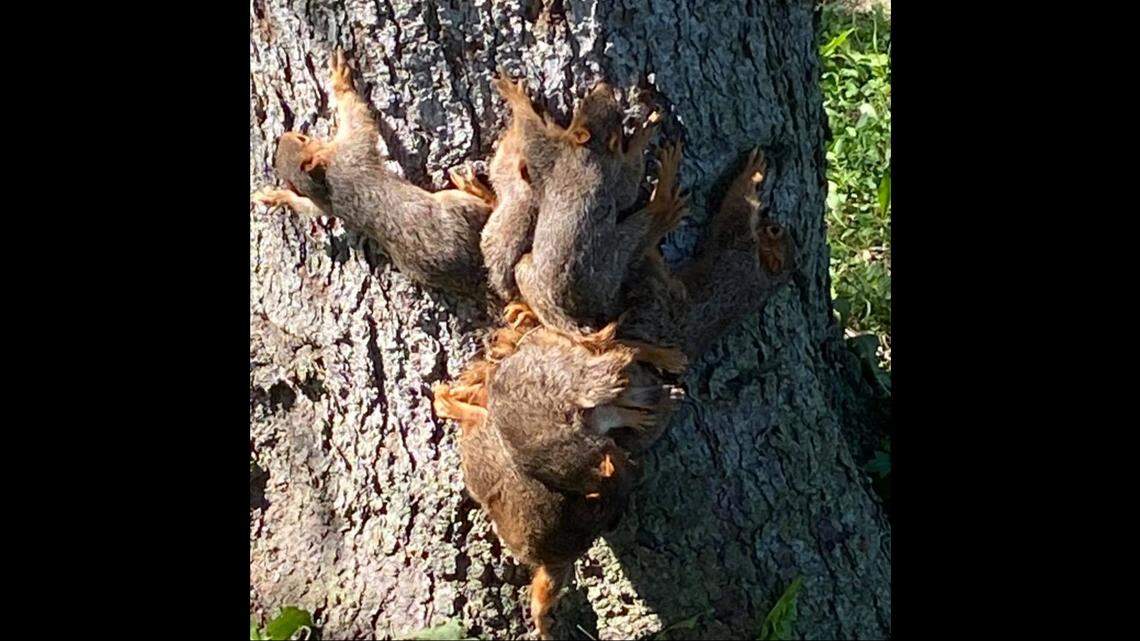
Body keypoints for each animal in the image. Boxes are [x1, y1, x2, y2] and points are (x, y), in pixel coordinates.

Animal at [252, 50, 494, 295]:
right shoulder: (353, 150)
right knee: (486, 208)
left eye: (301, 139)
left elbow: (306, 206)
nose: (284, 136)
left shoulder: (325, 200)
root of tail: (471, 275)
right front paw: (340, 81)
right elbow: (357, 115)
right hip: (457, 208)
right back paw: (477, 189)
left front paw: (277, 196)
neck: (324, 178)